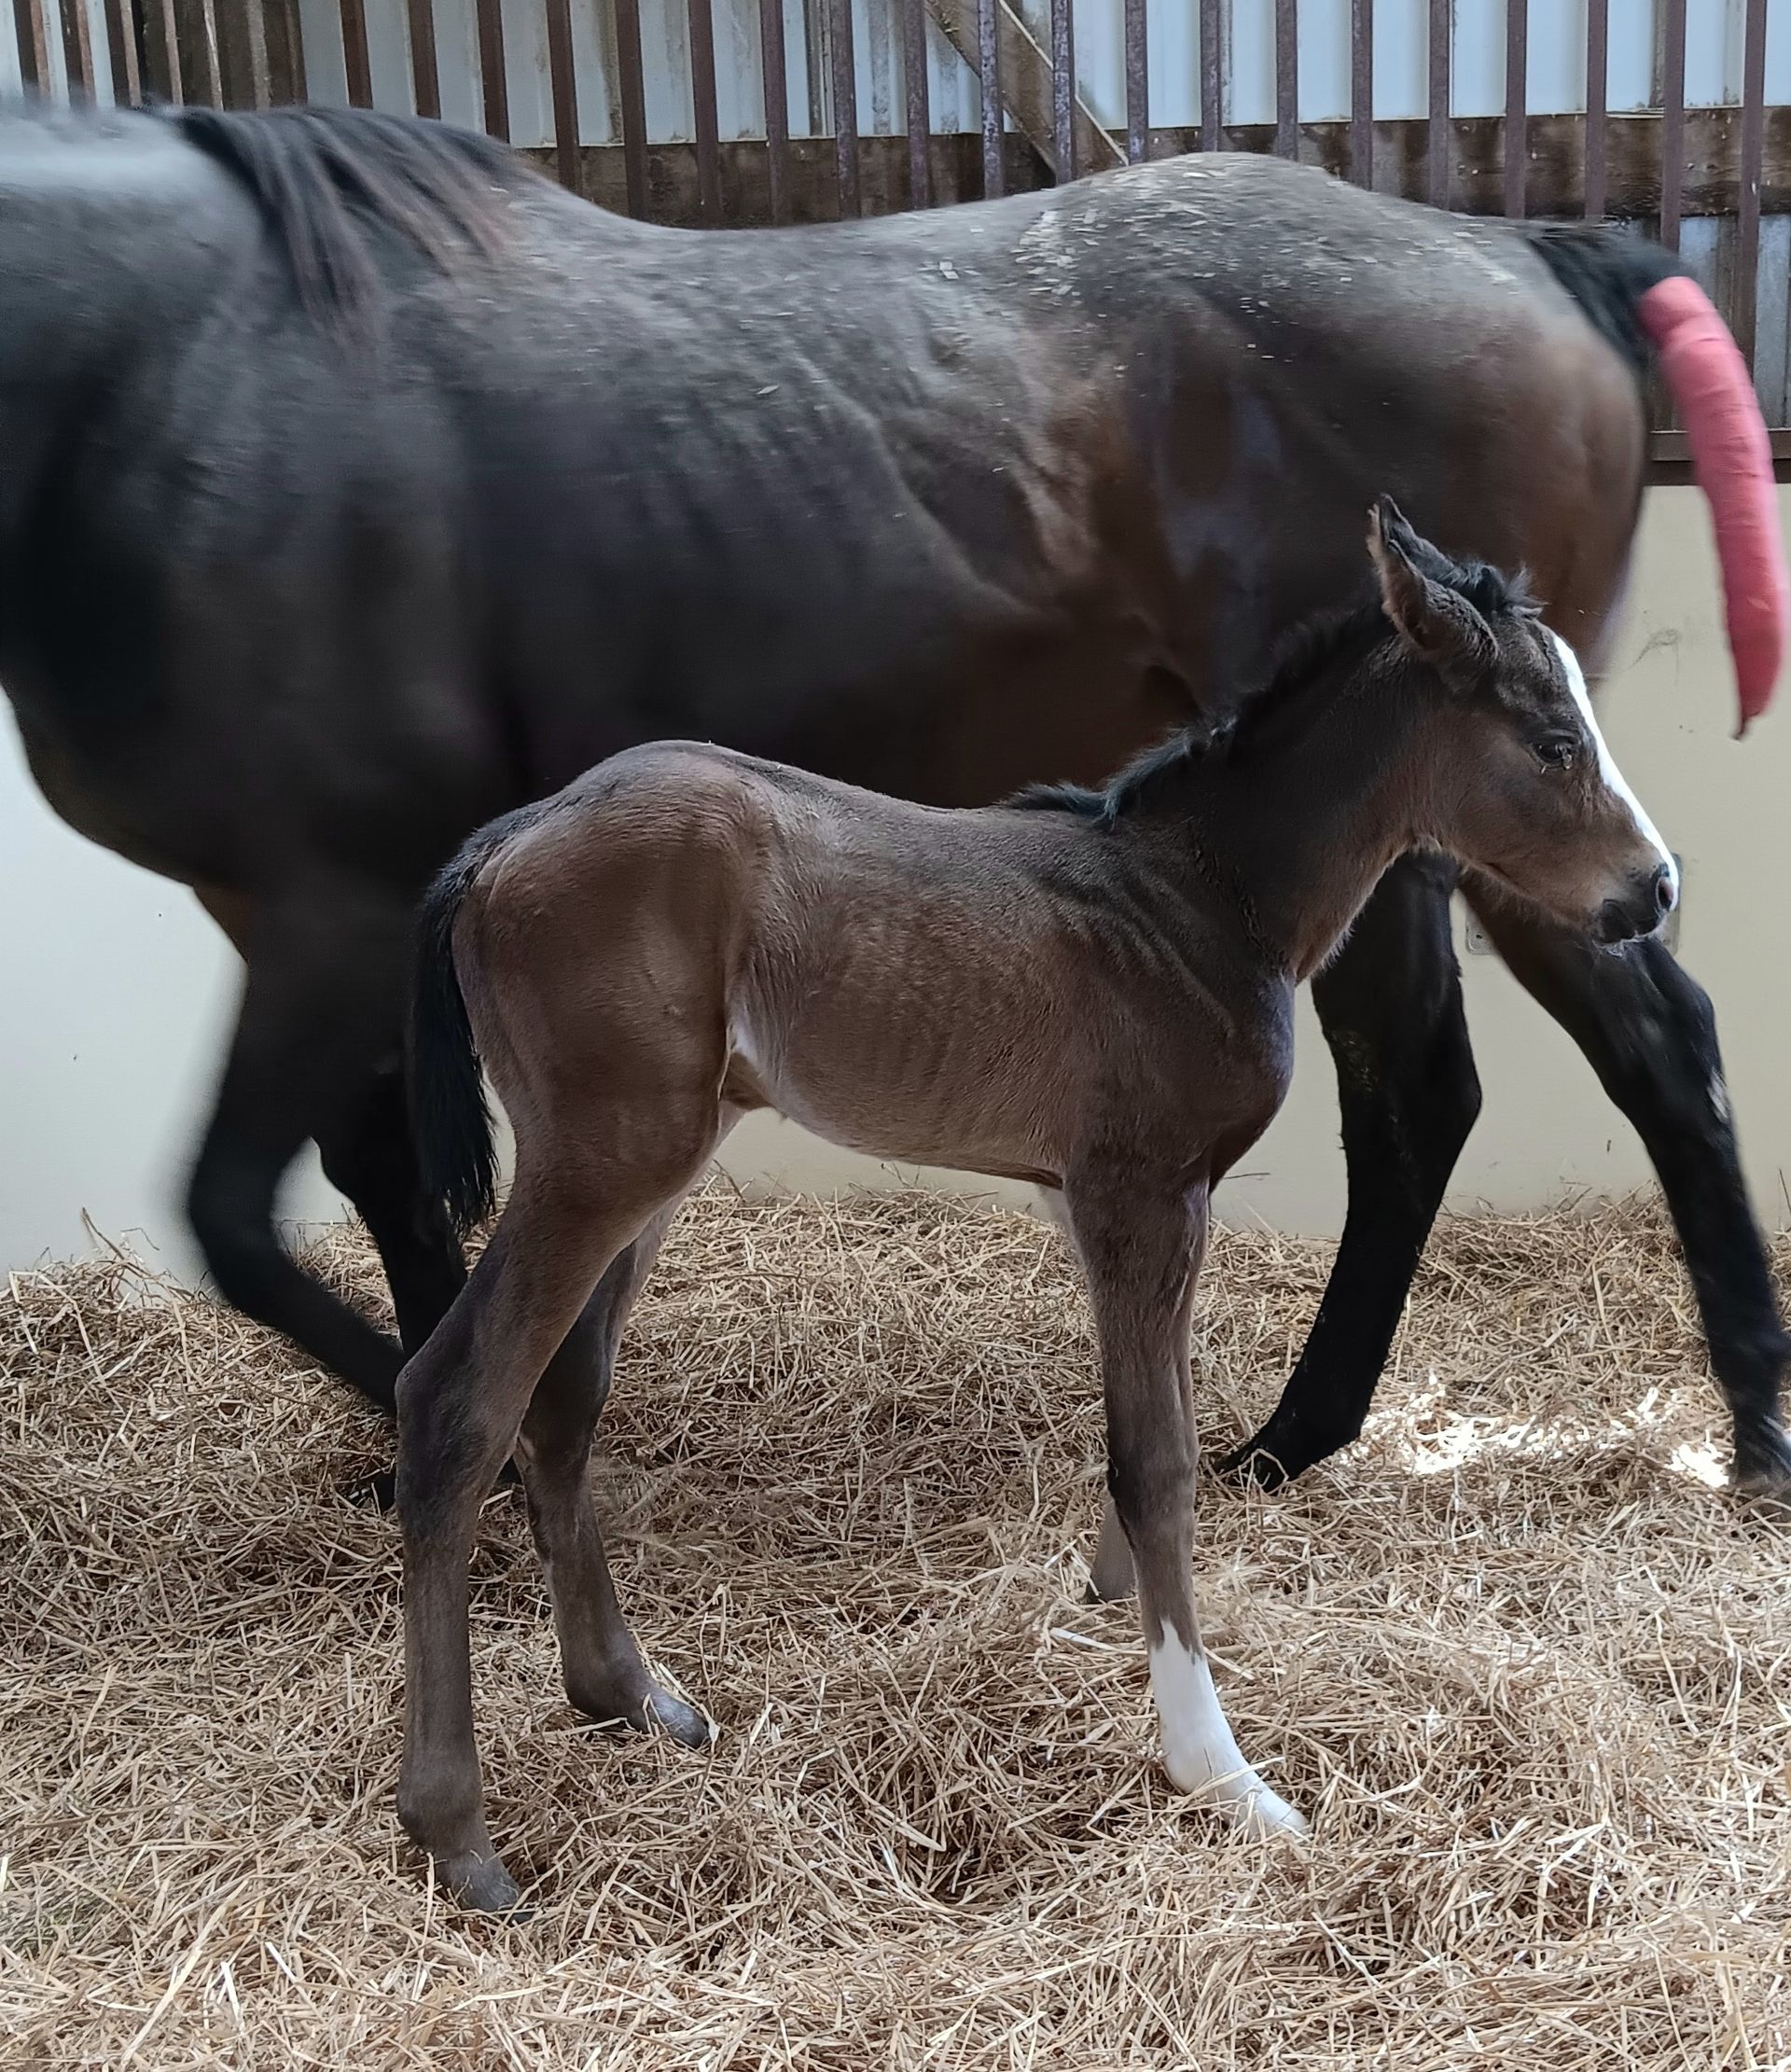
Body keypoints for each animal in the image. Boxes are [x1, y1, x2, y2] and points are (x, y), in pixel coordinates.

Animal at [1, 100, 1783, 1500]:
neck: (196, 370)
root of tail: (1527, 249)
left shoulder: (327, 908)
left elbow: (239, 1214)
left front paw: (473, 1444)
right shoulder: (305, 919)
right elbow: (383, 1180)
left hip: (1438, 846)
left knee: (1439, 1093)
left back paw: (1310, 1433)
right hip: (1501, 850)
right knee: (1654, 1047)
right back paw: (1738, 1424)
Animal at [394, 503, 1678, 1909]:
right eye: (1555, 741)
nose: (1656, 888)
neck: (1197, 902)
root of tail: (503, 843)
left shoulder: (1116, 1199)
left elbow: (1154, 1422)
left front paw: (1106, 1606)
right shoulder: (1143, 1194)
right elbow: (1156, 1458)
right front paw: (1216, 1767)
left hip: (649, 1170)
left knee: (563, 1400)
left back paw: (629, 1694)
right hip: (600, 1163)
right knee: (456, 1400)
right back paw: (457, 1833)